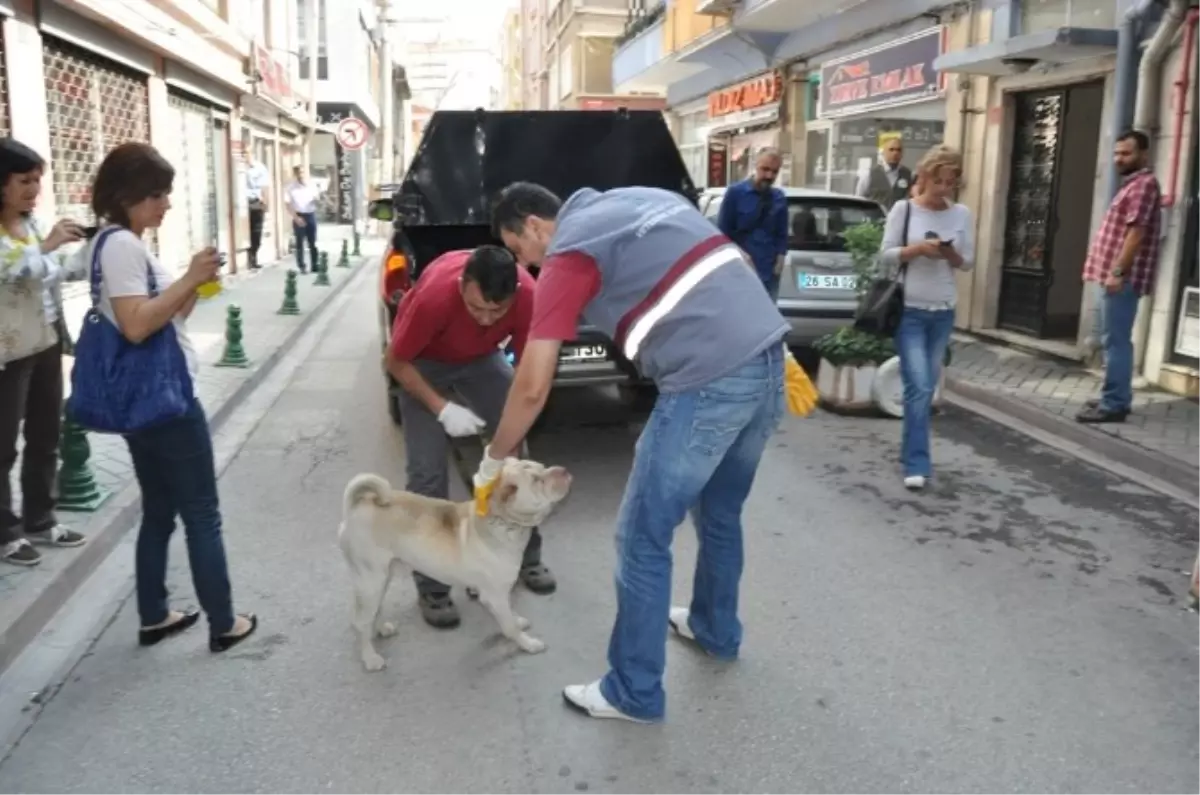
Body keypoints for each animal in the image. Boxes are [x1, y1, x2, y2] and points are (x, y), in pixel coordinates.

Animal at [336, 461, 573, 672]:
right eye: (536, 480)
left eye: (543, 467)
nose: (563, 470)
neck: (504, 523)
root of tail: (357, 506)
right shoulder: (494, 596)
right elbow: (509, 627)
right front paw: (528, 644)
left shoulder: (499, 595)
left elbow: (510, 614)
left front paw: (517, 620)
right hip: (371, 581)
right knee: (360, 620)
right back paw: (370, 658)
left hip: (383, 577)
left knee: (370, 613)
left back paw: (379, 629)